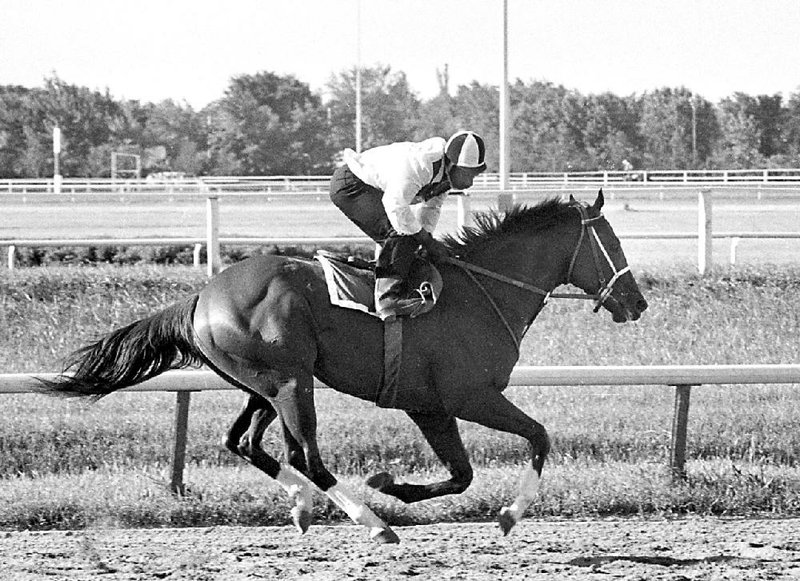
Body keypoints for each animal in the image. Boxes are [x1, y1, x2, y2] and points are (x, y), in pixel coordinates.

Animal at [39, 191, 648, 544]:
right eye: (613, 244)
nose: (637, 302)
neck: (483, 290)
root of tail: (199, 297)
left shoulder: (429, 407)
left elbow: (462, 474)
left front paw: (393, 484)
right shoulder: (468, 396)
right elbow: (537, 437)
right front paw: (508, 514)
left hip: (264, 384)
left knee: (246, 443)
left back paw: (303, 505)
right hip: (290, 382)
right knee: (304, 455)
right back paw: (371, 524)